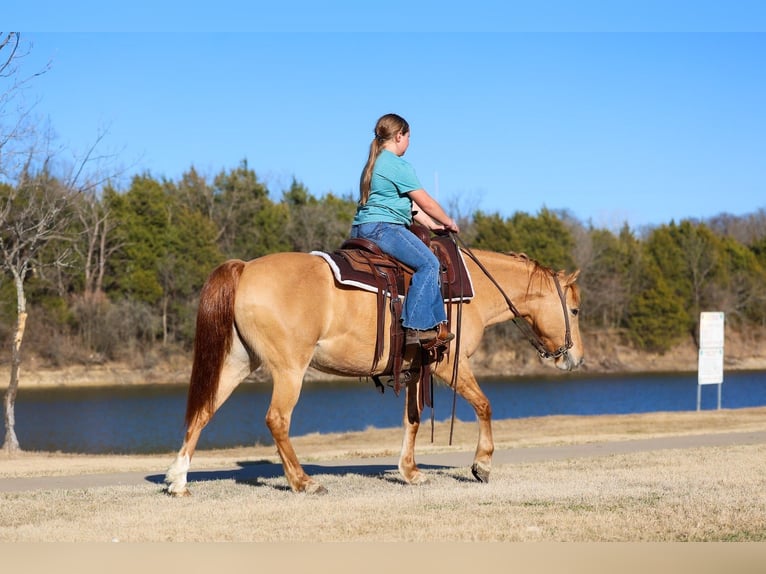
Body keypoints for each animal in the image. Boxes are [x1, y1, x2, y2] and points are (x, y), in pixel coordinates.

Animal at [164, 245, 584, 496]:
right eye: (576, 310)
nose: (575, 359)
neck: (471, 292)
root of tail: (246, 269)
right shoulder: (450, 364)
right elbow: (484, 405)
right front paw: (482, 464)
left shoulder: (418, 370)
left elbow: (412, 420)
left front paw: (410, 471)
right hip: (289, 369)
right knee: (277, 419)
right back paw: (303, 481)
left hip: (237, 362)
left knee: (203, 412)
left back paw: (179, 479)